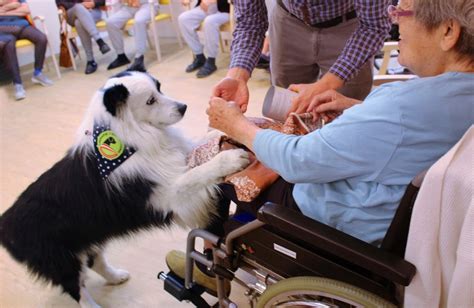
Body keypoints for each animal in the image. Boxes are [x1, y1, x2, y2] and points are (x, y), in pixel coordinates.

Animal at [0, 71, 250, 306]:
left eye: (159, 88)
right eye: (150, 101)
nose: (183, 107)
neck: (130, 137)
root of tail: (6, 224)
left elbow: (200, 143)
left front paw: (233, 127)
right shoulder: (167, 196)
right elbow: (195, 174)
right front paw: (231, 159)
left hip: (88, 236)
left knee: (95, 261)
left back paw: (117, 277)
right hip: (61, 260)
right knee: (77, 289)